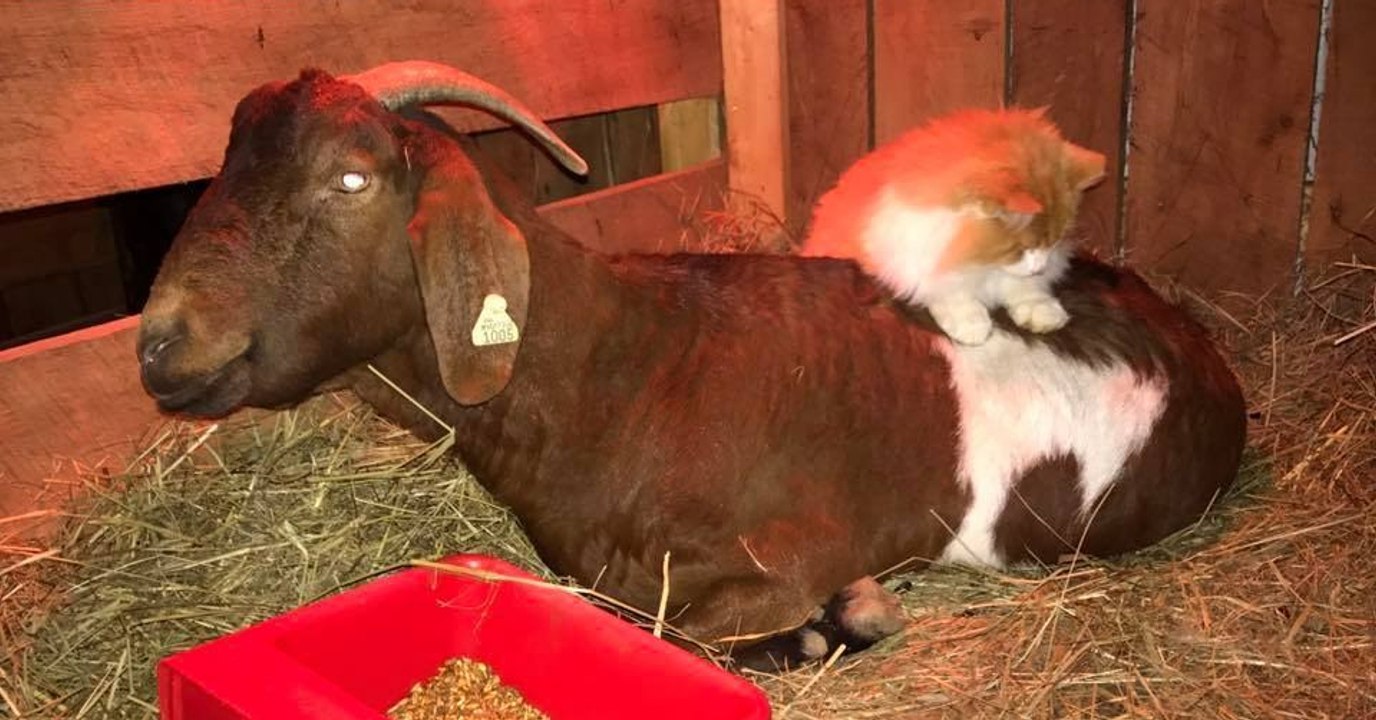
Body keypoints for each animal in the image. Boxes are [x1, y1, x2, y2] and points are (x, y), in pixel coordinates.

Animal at [136, 61, 1247, 671]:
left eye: (352, 178)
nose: (158, 348)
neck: (623, 377)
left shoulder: (771, 566)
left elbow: (679, 631)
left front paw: (839, 624)